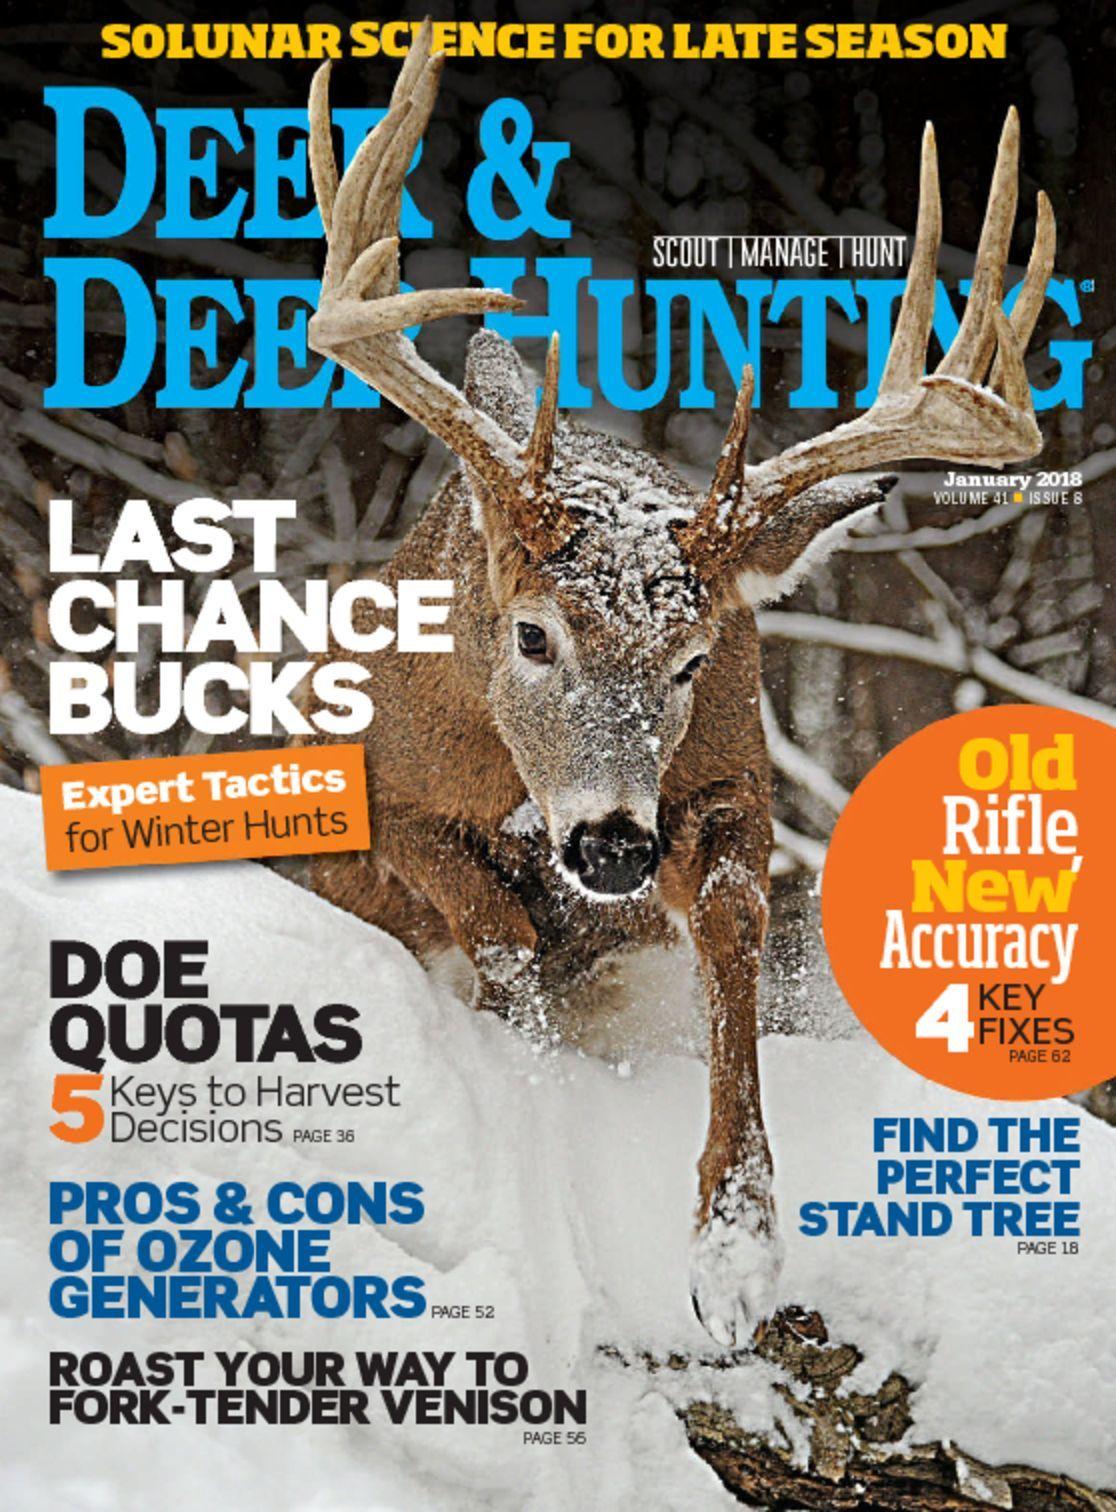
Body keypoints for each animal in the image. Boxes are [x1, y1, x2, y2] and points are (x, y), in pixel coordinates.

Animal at [302, 22, 1055, 1346]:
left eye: (695, 660)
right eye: (533, 635)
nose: (610, 844)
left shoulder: (732, 776)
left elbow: (732, 921)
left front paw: (736, 1255)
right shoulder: (385, 793)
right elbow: (496, 933)